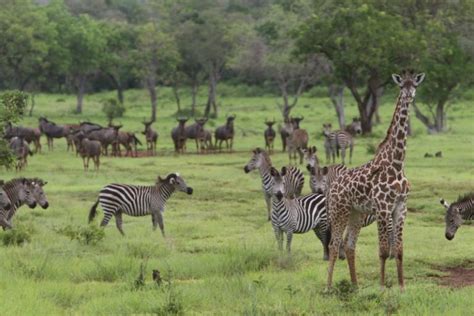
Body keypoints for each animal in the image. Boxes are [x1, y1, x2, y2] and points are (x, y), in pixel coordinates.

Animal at [326, 69, 426, 292]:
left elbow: (399, 250)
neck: (397, 163)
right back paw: (328, 287)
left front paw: (402, 287)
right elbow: (383, 250)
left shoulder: (400, 207)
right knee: (334, 245)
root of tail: (332, 186)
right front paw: (381, 288)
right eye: (401, 86)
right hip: (339, 211)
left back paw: (355, 287)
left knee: (349, 245)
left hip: (356, 213)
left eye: (415, 85)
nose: (409, 95)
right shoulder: (382, 207)